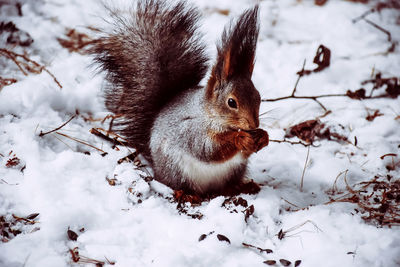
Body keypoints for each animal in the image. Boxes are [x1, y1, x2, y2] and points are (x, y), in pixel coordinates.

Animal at [91, 0, 268, 197]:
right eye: (231, 102)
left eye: (258, 97)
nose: (254, 125)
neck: (210, 114)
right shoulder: (192, 130)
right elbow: (208, 150)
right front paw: (240, 138)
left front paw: (263, 136)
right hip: (175, 169)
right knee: (177, 184)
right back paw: (188, 195)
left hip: (235, 170)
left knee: (226, 186)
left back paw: (241, 187)